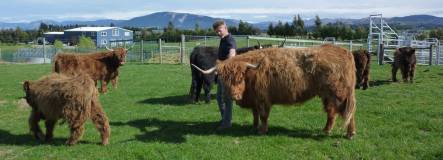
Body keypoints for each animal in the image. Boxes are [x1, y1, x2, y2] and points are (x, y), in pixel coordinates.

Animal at [193, 44, 358, 139]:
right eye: (224, 79)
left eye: (240, 77)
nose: (235, 95)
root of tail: (345, 51)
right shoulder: (254, 100)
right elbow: (255, 114)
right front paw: (254, 126)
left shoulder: (263, 99)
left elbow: (263, 115)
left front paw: (262, 130)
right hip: (327, 95)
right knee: (332, 113)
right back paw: (326, 130)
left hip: (340, 94)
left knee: (348, 113)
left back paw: (350, 134)